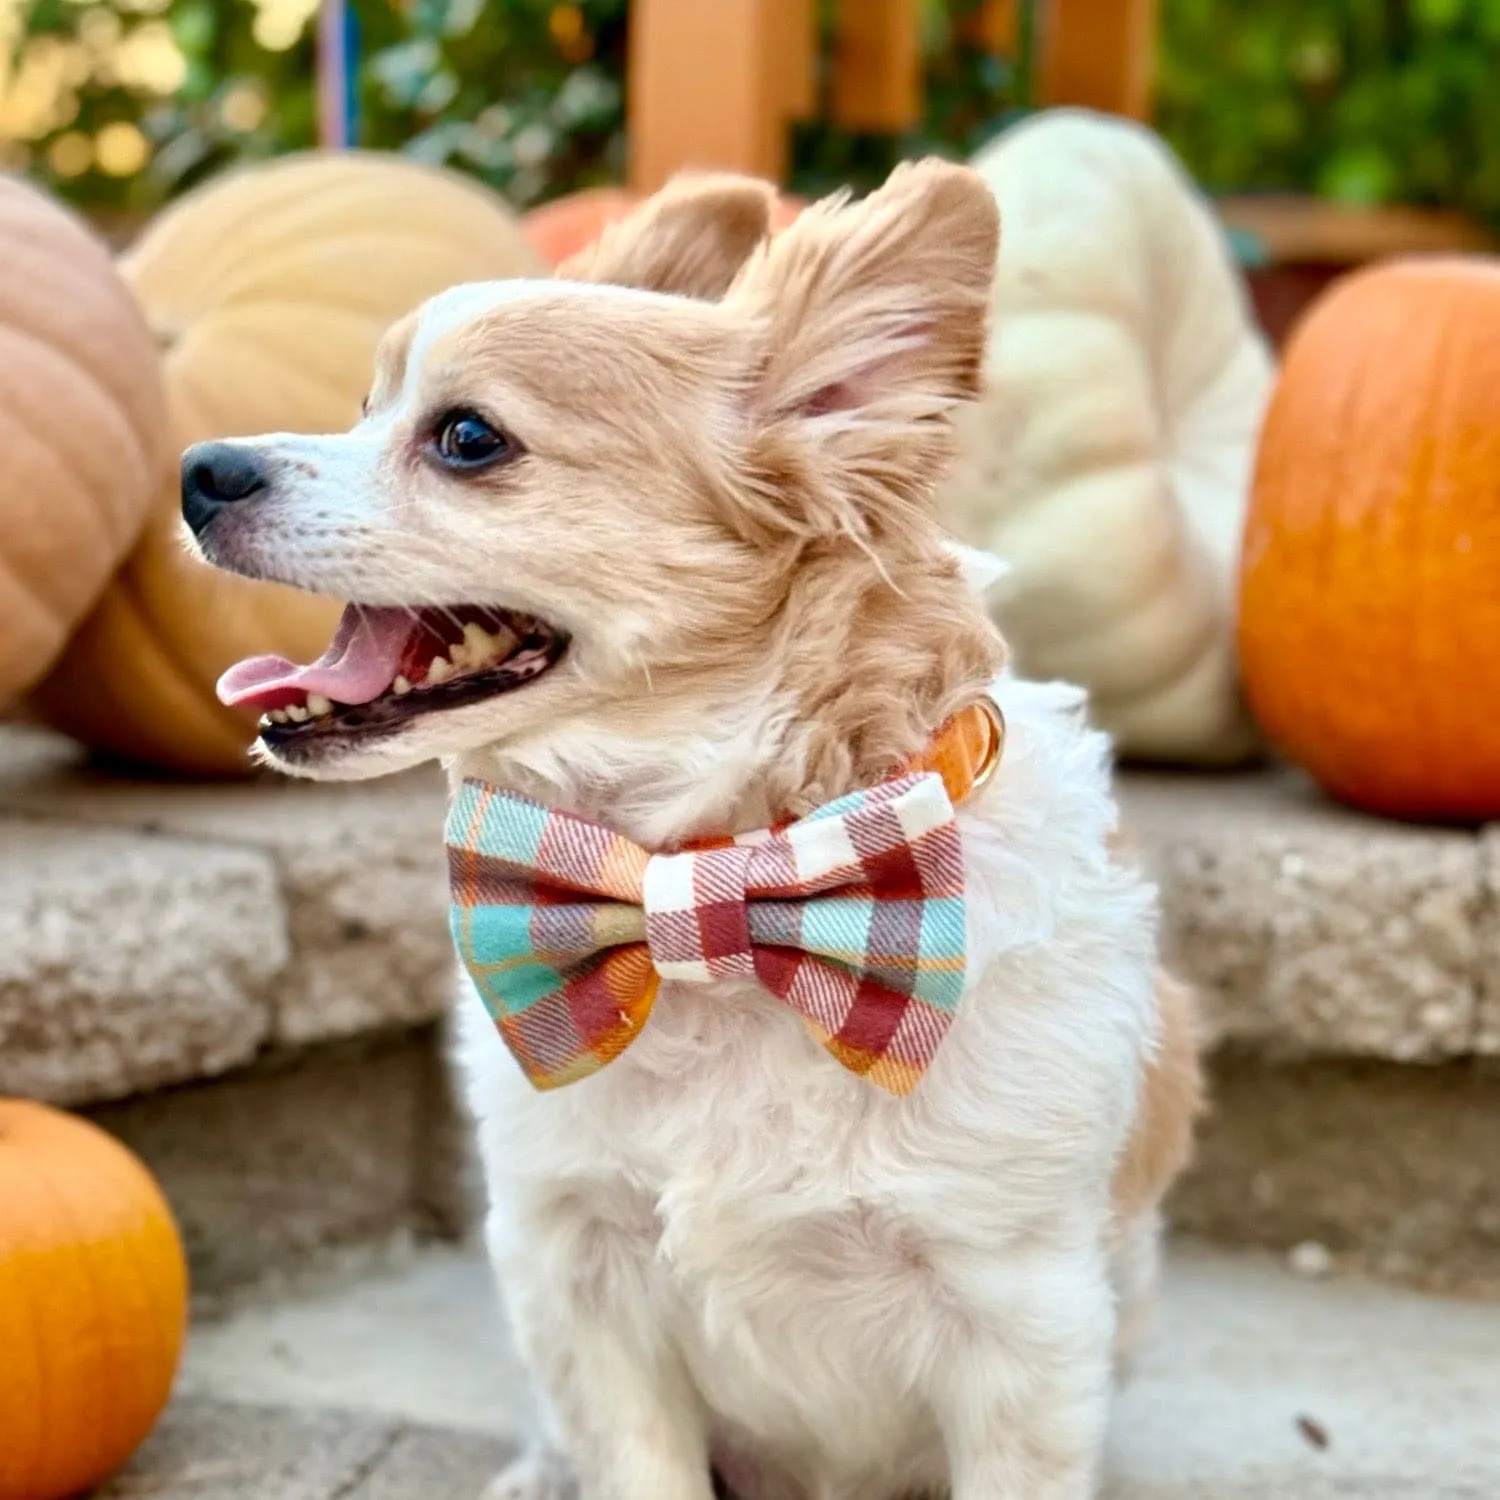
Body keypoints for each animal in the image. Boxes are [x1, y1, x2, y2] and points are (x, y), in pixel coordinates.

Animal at [181, 161, 1200, 1500]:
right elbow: (633, 1463)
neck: (714, 889)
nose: (199, 468)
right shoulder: (583, 1284)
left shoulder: (1022, 1330)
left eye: (466, 438)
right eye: (362, 406)